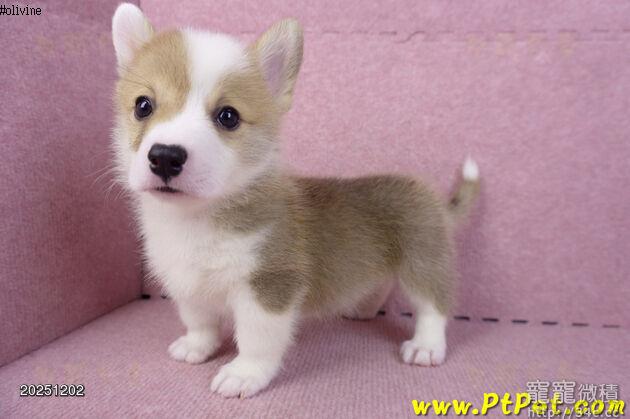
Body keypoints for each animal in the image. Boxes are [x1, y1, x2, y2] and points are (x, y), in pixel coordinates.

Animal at [111, 3, 480, 398]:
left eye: (228, 116)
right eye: (143, 106)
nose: (165, 156)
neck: (197, 218)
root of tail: (433, 198)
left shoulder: (269, 287)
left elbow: (257, 340)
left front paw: (244, 374)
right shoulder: (187, 284)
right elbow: (199, 321)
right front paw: (196, 347)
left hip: (422, 261)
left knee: (433, 305)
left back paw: (426, 346)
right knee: (380, 282)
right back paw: (361, 307)